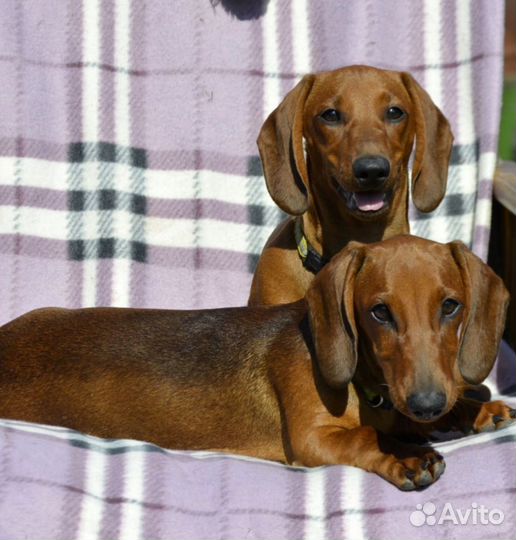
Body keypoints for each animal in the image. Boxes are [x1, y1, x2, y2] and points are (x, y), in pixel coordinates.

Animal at [1, 236, 512, 490]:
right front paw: (407, 455)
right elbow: (366, 436)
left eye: (451, 306)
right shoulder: (310, 439)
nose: (427, 403)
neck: (366, 388)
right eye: (379, 312)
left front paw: (475, 410)